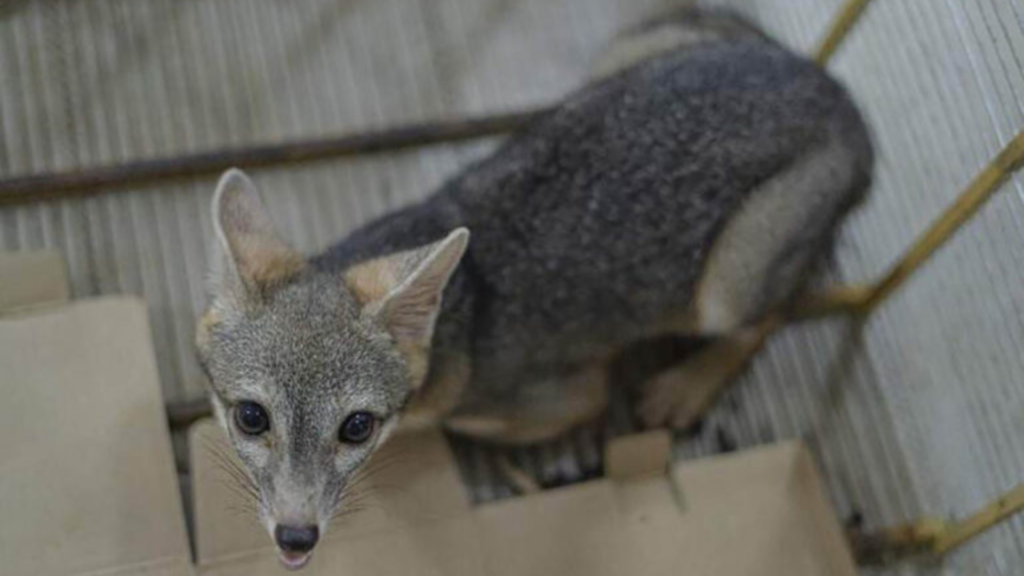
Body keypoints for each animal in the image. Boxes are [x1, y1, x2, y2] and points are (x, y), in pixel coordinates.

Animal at [195, 8, 872, 570]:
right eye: (251, 417)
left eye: (356, 428)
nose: (296, 537)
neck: (458, 323)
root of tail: (841, 98)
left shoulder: (566, 395)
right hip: (623, 53)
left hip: (724, 288)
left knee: (772, 312)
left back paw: (688, 384)